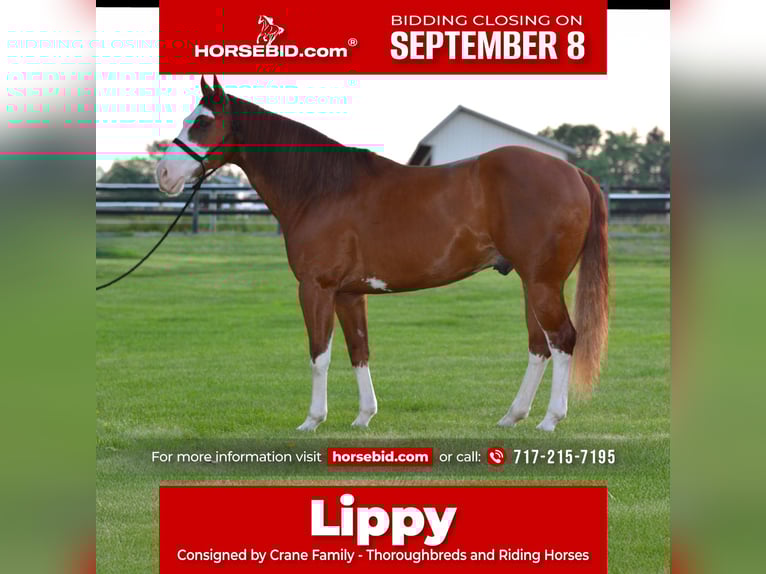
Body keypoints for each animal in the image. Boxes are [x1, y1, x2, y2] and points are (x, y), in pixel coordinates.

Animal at [155, 76, 609, 432]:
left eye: (202, 122)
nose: (163, 173)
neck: (322, 189)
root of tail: (575, 172)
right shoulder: (348, 294)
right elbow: (359, 351)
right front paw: (363, 416)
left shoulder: (316, 289)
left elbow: (319, 354)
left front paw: (312, 420)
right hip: (533, 283)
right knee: (539, 345)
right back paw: (513, 416)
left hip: (542, 282)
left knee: (563, 340)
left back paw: (550, 419)